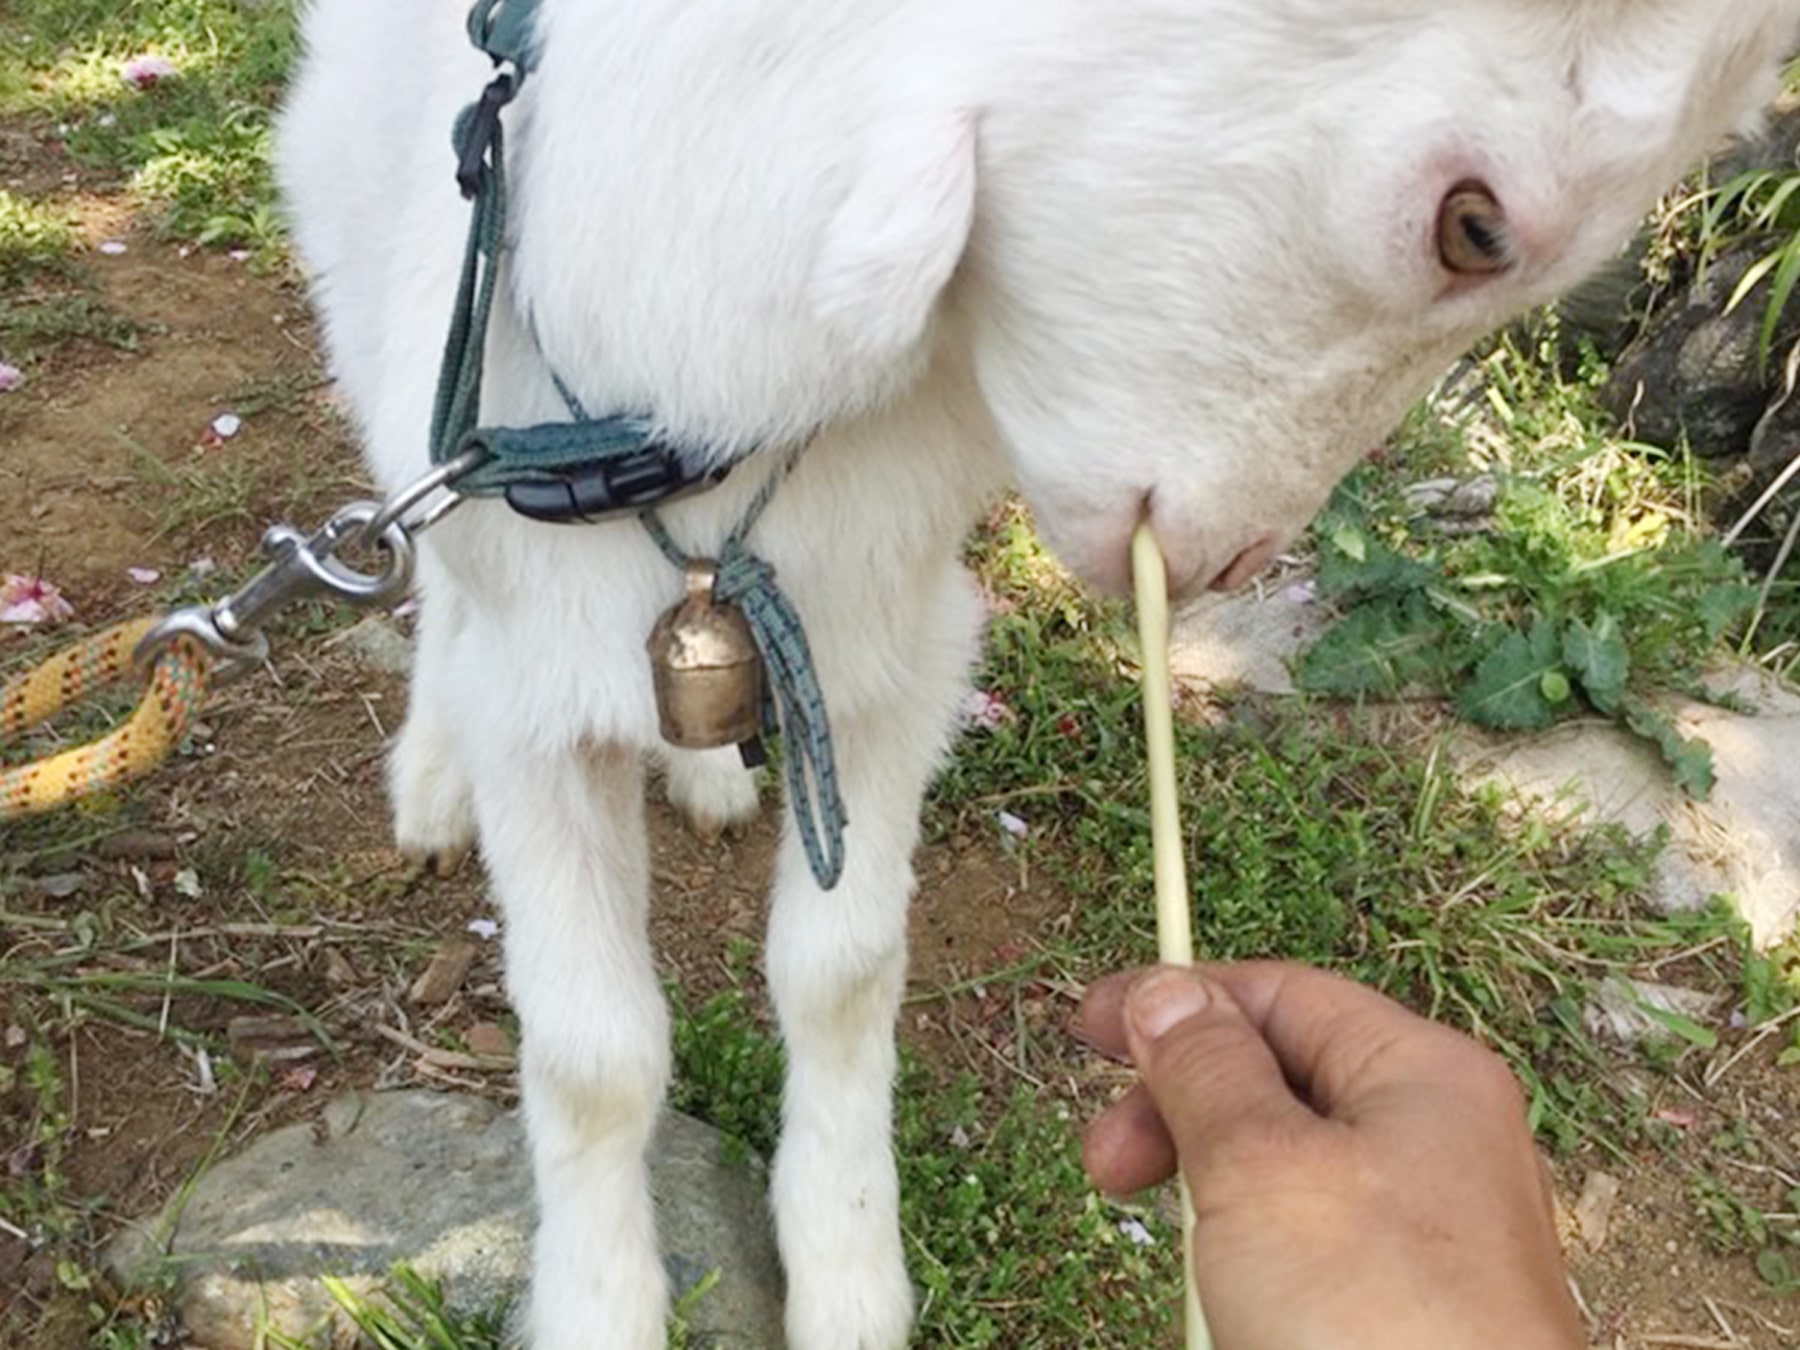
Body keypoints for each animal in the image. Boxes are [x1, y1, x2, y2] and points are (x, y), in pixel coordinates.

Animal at [277, 5, 1800, 1346]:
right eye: (1475, 224)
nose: (1231, 560)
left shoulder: (892, 648)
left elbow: (844, 970)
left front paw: (850, 1283)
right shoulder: (540, 683)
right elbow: (592, 1058)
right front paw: (601, 1311)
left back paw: (705, 772)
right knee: (426, 571)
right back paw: (432, 779)